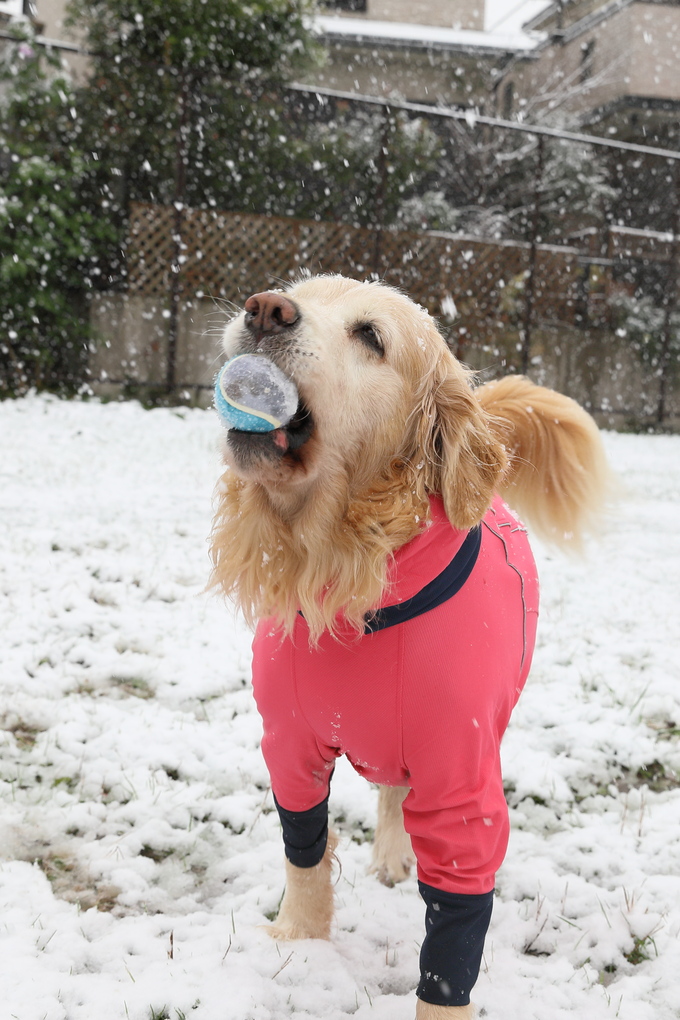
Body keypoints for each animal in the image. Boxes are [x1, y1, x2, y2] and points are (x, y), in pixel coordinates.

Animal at [210, 275, 607, 1015]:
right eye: (297, 292)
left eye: (371, 336)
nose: (266, 309)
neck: (351, 583)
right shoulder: (288, 747)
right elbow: (304, 852)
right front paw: (300, 939)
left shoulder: (461, 778)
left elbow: (455, 925)